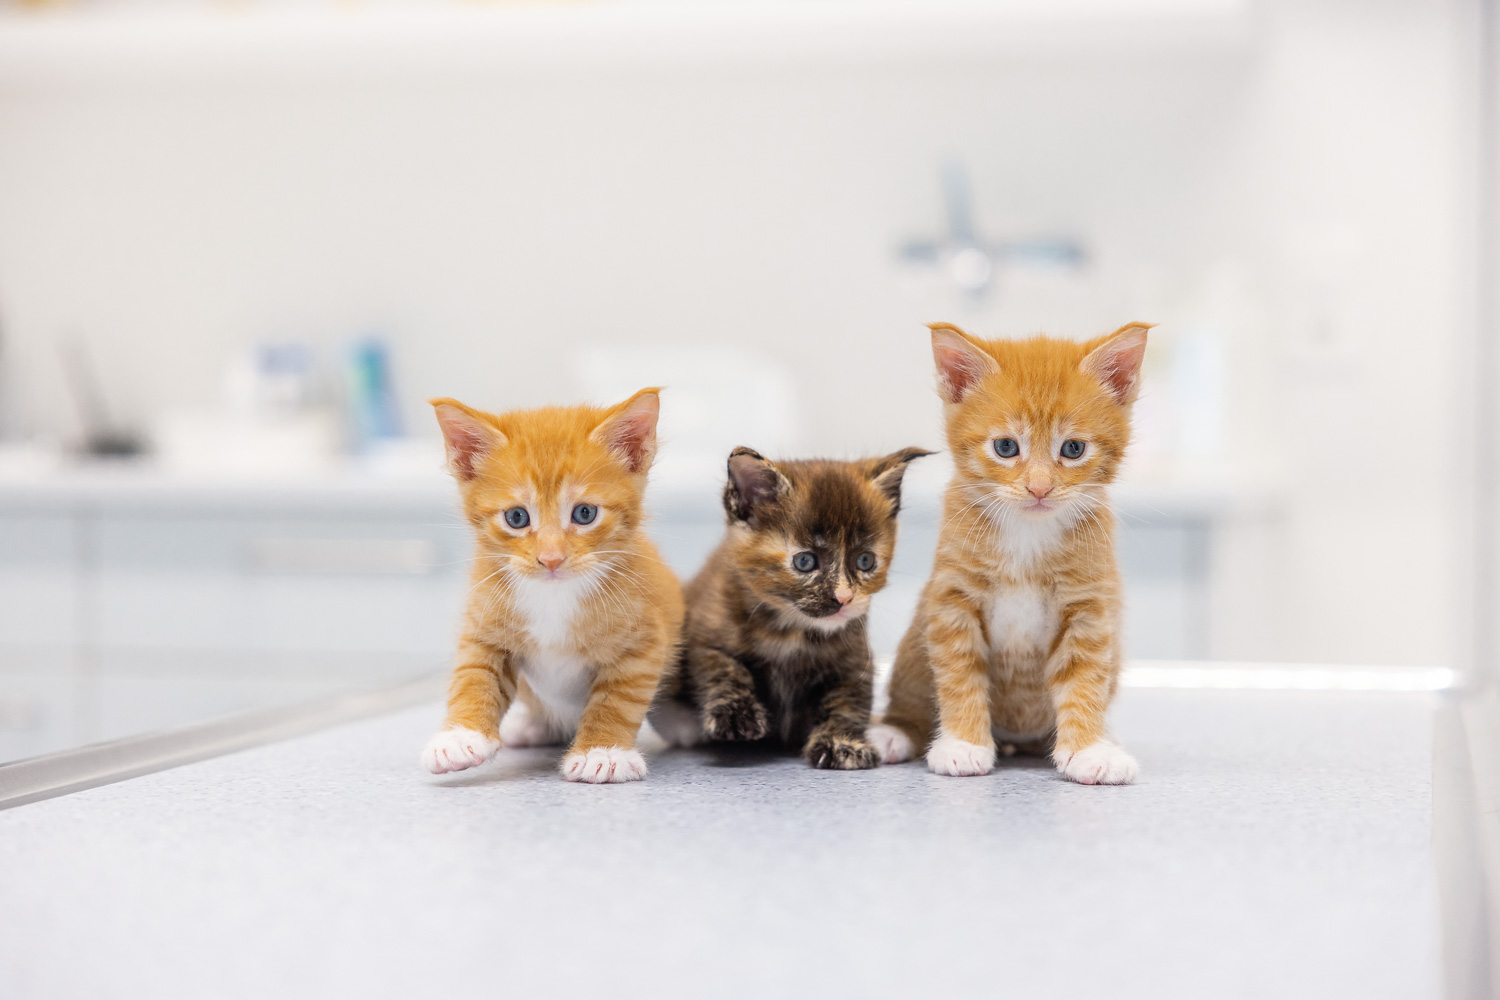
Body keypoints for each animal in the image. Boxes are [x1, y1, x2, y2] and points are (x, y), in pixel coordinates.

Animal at [417, 386, 687, 785]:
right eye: (516, 517)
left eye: (585, 513)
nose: (551, 559)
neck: (553, 597)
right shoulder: (484, 621)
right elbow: (472, 676)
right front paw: (460, 737)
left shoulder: (645, 639)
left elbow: (618, 699)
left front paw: (602, 752)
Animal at [651, 449, 930, 773]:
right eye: (805, 562)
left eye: (865, 561)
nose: (844, 598)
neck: (791, 631)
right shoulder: (706, 634)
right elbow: (724, 671)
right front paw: (737, 715)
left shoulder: (854, 659)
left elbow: (847, 702)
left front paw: (843, 743)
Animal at [870, 325, 1146, 785]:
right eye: (1005, 447)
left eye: (1073, 449)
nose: (1039, 488)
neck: (1027, 534)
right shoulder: (951, 598)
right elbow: (959, 672)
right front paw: (963, 745)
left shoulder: (1089, 605)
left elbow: (1085, 677)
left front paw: (1088, 749)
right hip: (913, 647)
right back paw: (894, 731)